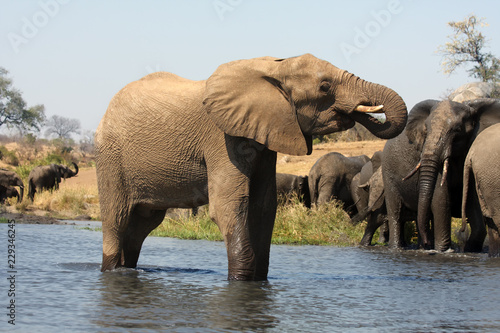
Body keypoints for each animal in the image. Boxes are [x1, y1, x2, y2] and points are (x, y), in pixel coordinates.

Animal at [95, 53, 408, 278]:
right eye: (324, 87)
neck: (274, 68)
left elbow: (263, 206)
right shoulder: (221, 137)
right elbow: (230, 206)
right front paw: (241, 282)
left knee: (141, 226)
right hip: (110, 157)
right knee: (117, 218)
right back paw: (112, 271)